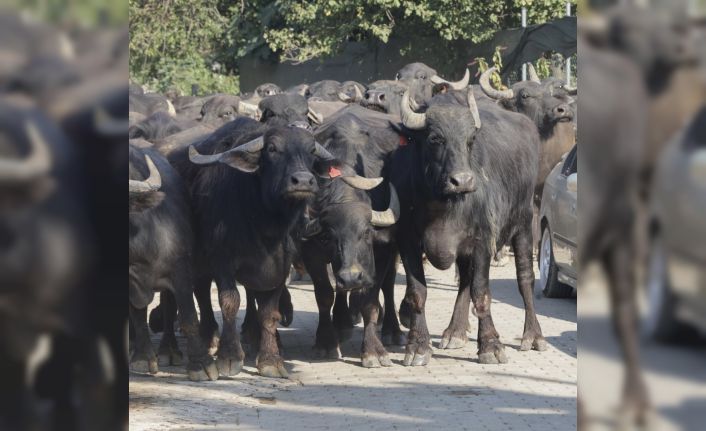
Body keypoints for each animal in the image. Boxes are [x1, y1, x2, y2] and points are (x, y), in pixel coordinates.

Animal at [126, 145, 214, 382]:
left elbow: (189, 317)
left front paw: (202, 365)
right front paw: (142, 358)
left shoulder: (180, 271)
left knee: (168, 306)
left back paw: (168, 350)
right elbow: (137, 316)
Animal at [384, 89, 544, 366]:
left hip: (524, 223)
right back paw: (455, 331)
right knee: (464, 281)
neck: (441, 205)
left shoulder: (482, 242)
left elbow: (482, 293)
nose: (463, 181)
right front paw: (418, 346)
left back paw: (533, 336)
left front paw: (490, 346)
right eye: (435, 138)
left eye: (470, 140)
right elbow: (418, 293)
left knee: (525, 278)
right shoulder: (408, 242)